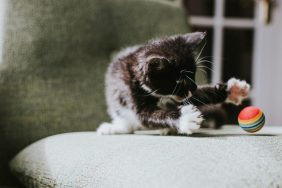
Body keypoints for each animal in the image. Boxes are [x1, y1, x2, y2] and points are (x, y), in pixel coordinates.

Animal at [96, 32, 249, 135]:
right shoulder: (131, 94)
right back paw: (114, 128)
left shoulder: (184, 95)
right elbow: (147, 117)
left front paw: (233, 89)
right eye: (180, 80)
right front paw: (185, 118)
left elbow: (201, 94)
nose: (194, 87)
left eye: (193, 73)